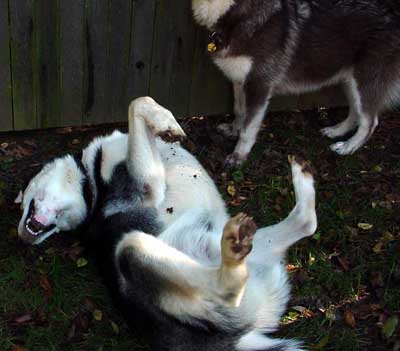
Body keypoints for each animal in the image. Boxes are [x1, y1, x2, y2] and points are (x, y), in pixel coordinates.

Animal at [17, 97, 318, 351]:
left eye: (23, 203)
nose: (23, 235)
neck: (90, 185)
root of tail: (235, 339)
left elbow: (140, 104)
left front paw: (163, 122)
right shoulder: (149, 186)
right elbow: (137, 103)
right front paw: (165, 123)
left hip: (253, 248)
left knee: (306, 222)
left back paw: (301, 177)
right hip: (135, 248)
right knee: (228, 287)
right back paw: (232, 259)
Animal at [191, 0, 400, 167]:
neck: (240, 16)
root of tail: (393, 13)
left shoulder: (259, 85)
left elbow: (248, 129)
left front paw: (238, 156)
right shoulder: (240, 80)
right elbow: (239, 110)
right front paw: (234, 129)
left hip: (365, 81)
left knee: (370, 121)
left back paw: (349, 146)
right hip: (349, 80)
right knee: (356, 112)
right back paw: (336, 131)